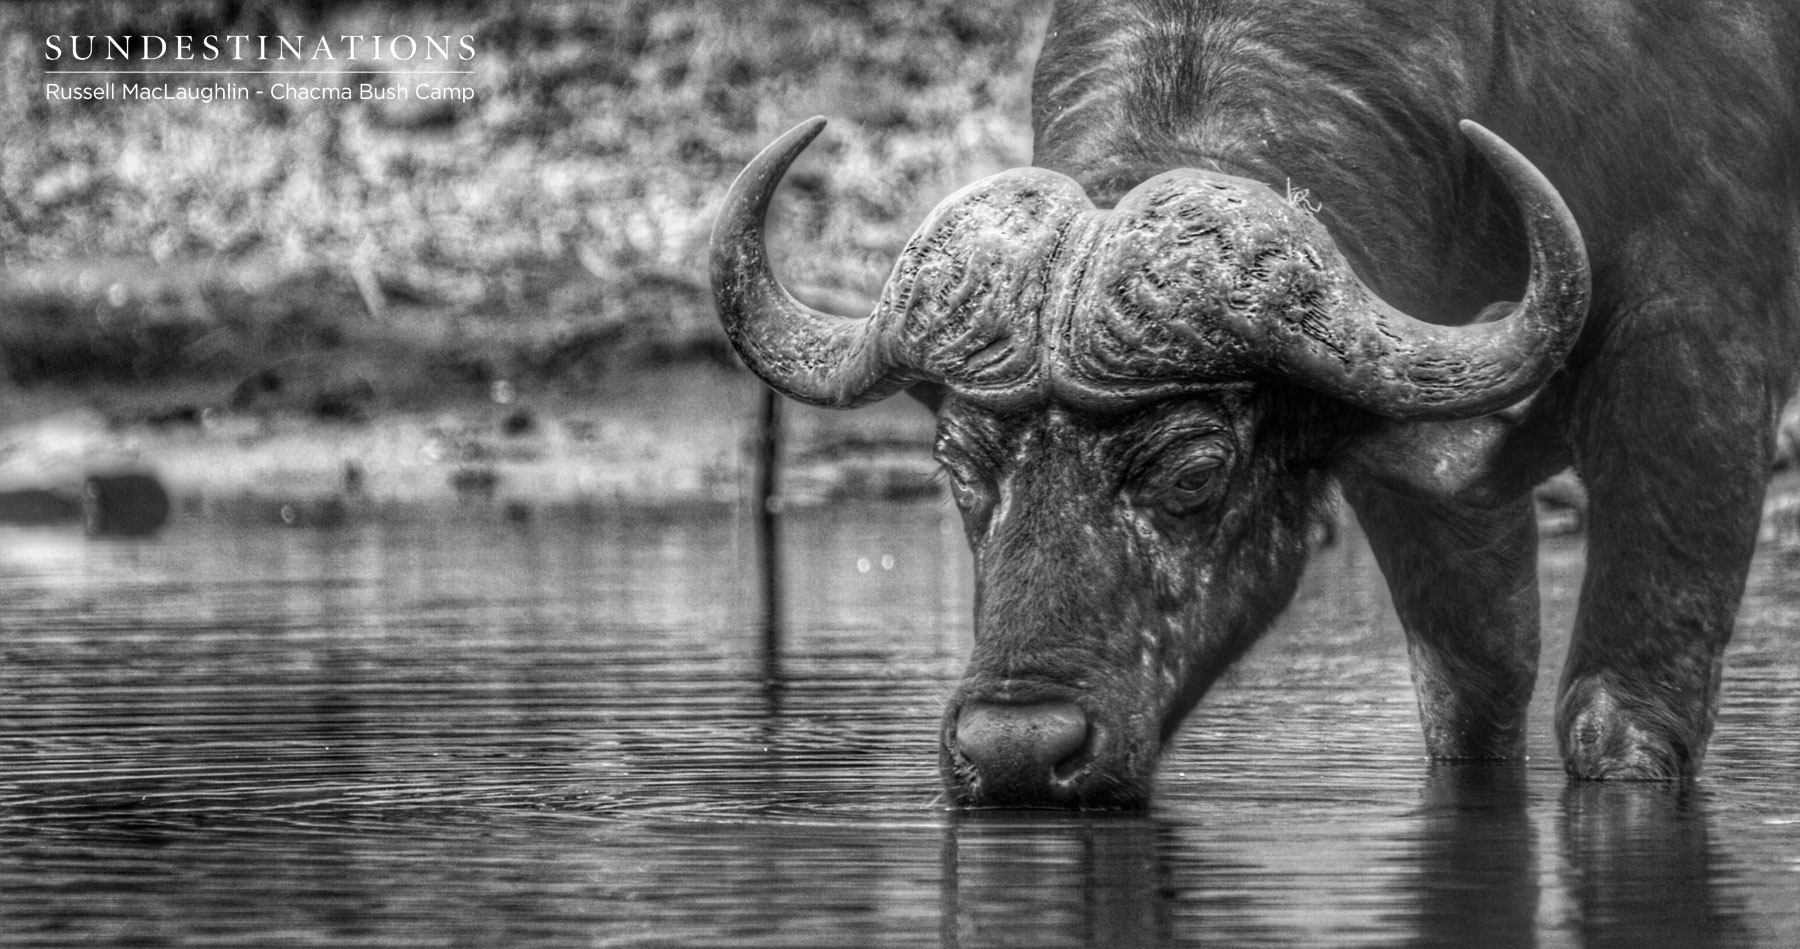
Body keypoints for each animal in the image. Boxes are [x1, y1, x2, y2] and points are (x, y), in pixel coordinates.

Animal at [712, 1, 1800, 808]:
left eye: (1195, 471)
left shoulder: (1695, 341)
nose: (1017, 749)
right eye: (960, 466)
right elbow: (1473, 686)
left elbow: (1616, 713)